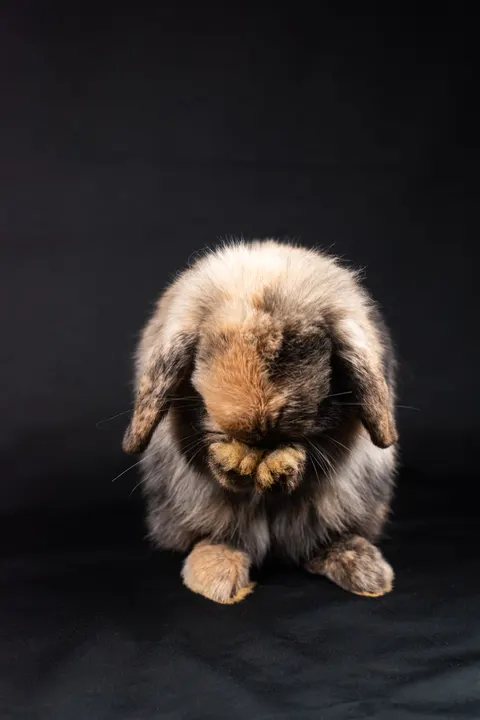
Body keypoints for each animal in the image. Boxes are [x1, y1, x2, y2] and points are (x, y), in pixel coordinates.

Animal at [123, 240, 398, 604]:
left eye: (294, 343)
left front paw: (281, 466)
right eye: (210, 349)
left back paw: (363, 571)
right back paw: (218, 575)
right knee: (221, 535)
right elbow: (214, 463)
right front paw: (235, 462)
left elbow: (313, 455)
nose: (257, 423)